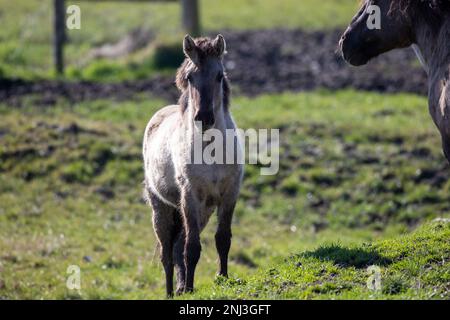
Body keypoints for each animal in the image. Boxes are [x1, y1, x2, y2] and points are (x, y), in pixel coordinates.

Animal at [143, 34, 243, 296]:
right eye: (190, 77)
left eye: (219, 75)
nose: (204, 117)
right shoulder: (190, 198)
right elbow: (193, 248)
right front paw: (189, 285)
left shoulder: (229, 195)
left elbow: (222, 239)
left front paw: (223, 277)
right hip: (162, 210)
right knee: (167, 254)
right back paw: (172, 291)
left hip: (204, 211)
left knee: (177, 248)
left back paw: (180, 288)